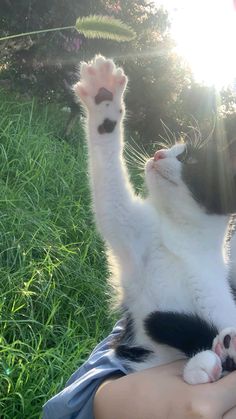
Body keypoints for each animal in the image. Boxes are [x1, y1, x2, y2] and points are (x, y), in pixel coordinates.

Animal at [74, 55, 236, 388]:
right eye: (173, 148)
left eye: (189, 158)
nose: (158, 154)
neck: (185, 241)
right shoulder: (133, 234)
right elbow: (111, 199)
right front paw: (103, 100)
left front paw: (218, 355)